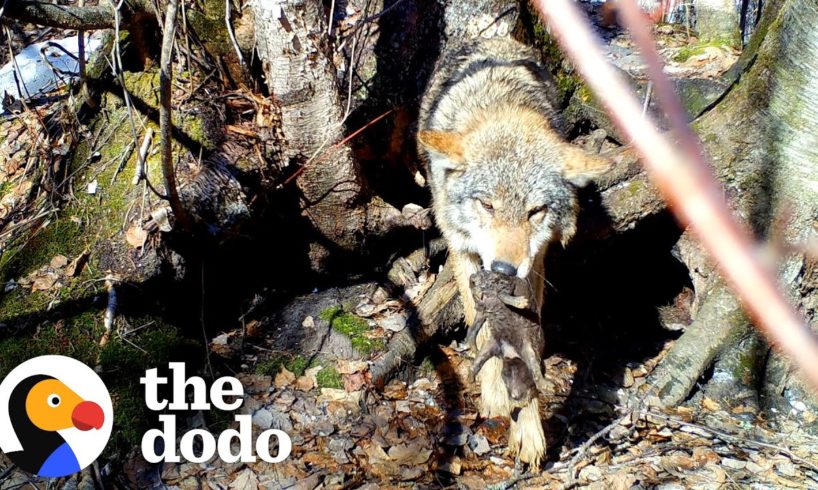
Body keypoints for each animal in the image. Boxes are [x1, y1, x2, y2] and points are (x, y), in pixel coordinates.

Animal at [418, 37, 608, 468]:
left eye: (535, 211)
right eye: (487, 205)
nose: (504, 269)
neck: (500, 107)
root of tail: (494, 38)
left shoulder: (534, 265)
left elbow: (528, 345)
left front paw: (530, 431)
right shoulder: (465, 252)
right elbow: (483, 326)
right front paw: (494, 397)